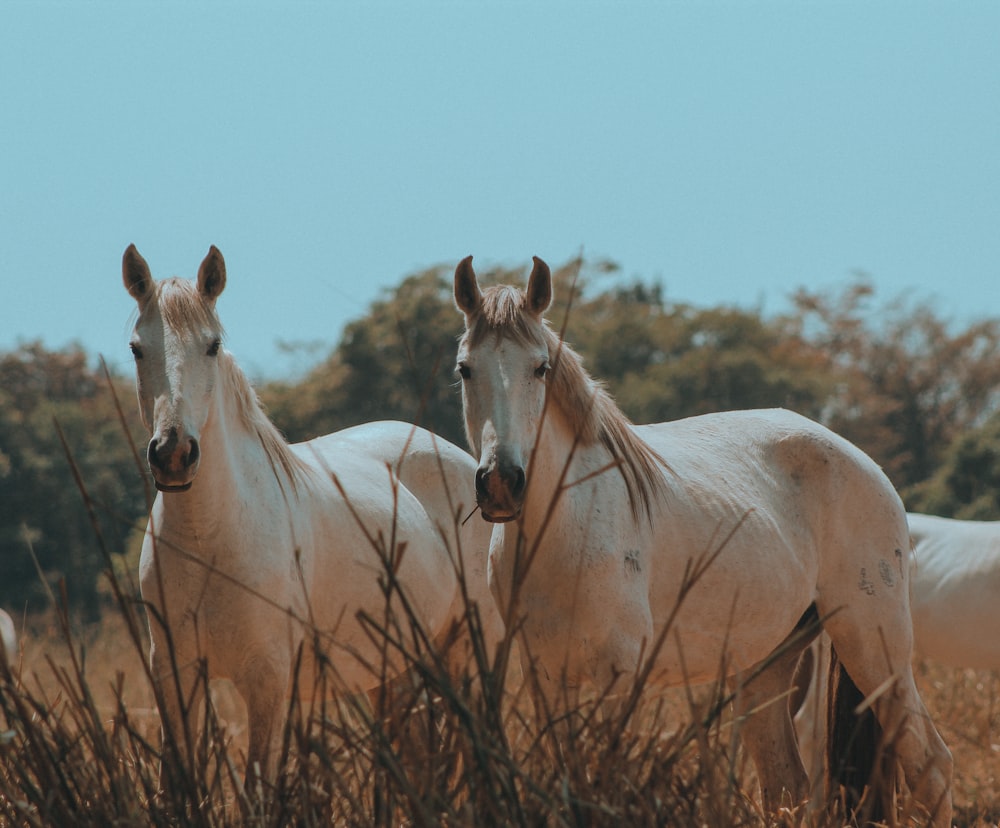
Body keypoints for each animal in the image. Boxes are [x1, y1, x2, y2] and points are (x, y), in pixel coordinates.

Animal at [123, 243, 498, 784]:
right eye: (137, 348)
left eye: (212, 346)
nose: (173, 454)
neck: (209, 536)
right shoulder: (175, 680)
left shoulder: (267, 682)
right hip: (397, 671)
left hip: (469, 654)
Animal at [454, 256, 952, 824]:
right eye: (465, 369)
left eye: (540, 368)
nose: (501, 482)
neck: (567, 525)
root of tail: (866, 464)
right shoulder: (544, 676)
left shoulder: (616, 676)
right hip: (768, 665)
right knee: (786, 785)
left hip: (873, 643)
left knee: (931, 766)